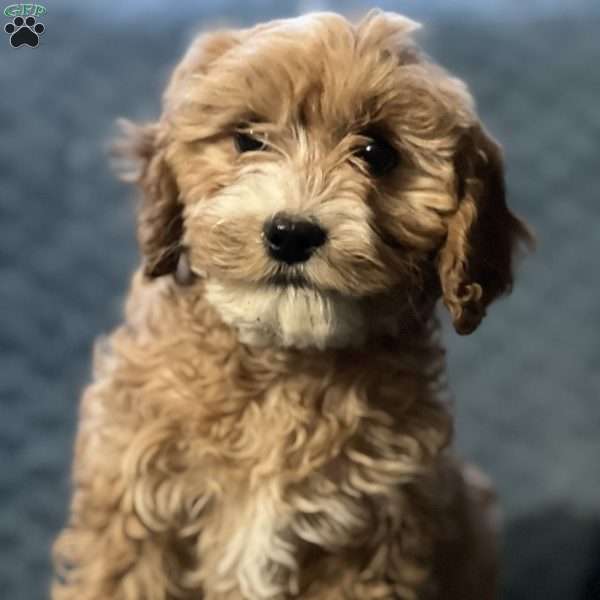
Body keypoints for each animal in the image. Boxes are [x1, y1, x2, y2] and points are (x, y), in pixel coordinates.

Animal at [50, 10, 528, 600]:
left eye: (377, 153)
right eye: (248, 140)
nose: (292, 233)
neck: (282, 362)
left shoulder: (370, 539)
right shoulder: (131, 513)